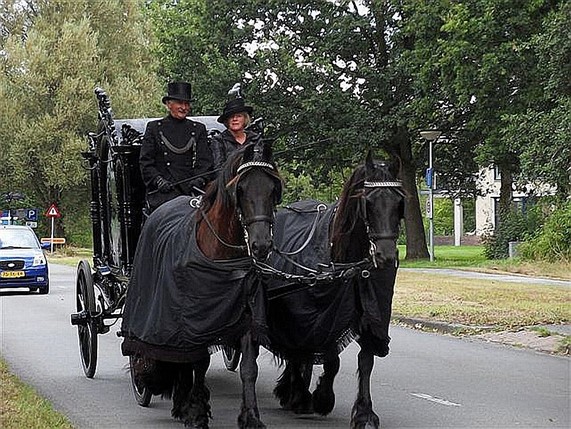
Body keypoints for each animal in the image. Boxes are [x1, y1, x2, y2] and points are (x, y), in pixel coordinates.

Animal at [122, 139, 282, 426]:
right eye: (240, 189)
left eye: (273, 189)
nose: (261, 245)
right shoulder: (193, 321)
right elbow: (198, 363)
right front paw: (195, 412)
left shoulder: (245, 315)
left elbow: (248, 368)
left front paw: (251, 416)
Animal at [262, 152, 404, 426]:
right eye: (368, 202)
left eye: (399, 202)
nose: (386, 256)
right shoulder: (318, 316)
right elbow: (329, 358)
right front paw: (319, 398)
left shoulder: (369, 313)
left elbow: (365, 360)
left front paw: (364, 412)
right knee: (297, 352)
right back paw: (296, 393)